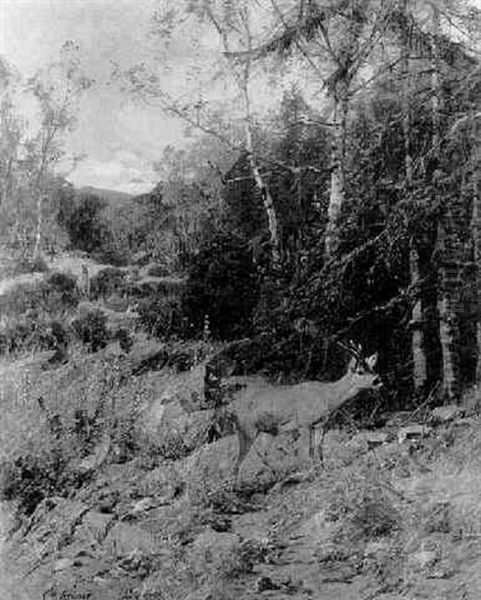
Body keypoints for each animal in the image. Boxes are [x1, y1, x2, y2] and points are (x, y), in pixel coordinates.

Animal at [227, 342, 380, 482]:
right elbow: (308, 450)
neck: (328, 398)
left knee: (259, 455)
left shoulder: (320, 424)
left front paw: (322, 470)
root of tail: (232, 409)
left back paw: (274, 476)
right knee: (238, 460)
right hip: (246, 429)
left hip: (267, 431)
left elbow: (318, 448)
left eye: (372, 368)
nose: (377, 380)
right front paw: (310, 473)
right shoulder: (304, 423)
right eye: (360, 371)